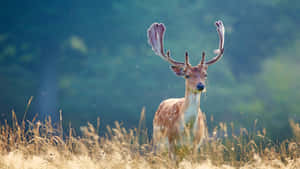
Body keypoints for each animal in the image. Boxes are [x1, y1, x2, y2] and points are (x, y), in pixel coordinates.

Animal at [148, 20, 225, 158]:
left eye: (205, 74)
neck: (186, 130)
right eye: (187, 75)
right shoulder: (171, 144)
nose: (200, 86)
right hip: (158, 143)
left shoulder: (195, 146)